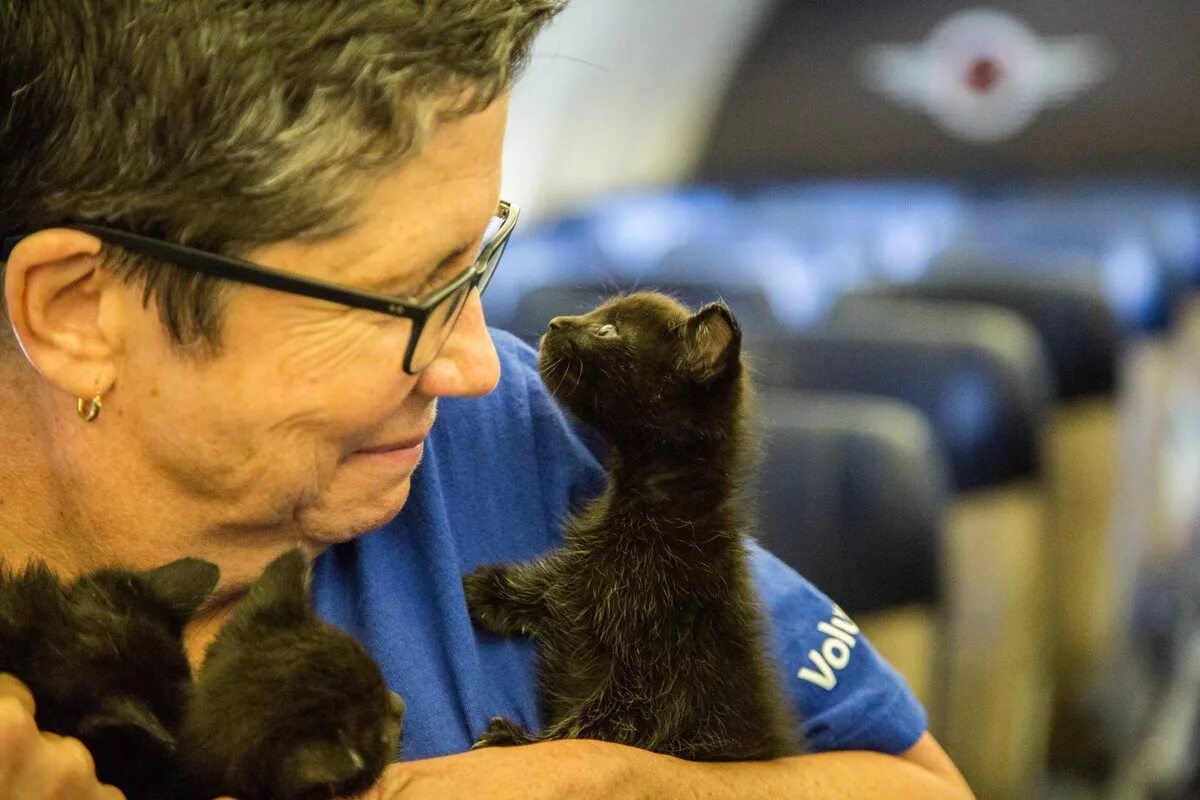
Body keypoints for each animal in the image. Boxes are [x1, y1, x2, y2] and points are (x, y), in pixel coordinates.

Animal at [463, 291, 801, 762]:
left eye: (609, 331)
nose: (555, 323)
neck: (648, 509)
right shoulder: (584, 574)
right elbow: (555, 583)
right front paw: (491, 589)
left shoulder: (663, 675)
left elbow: (603, 722)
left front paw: (521, 741)